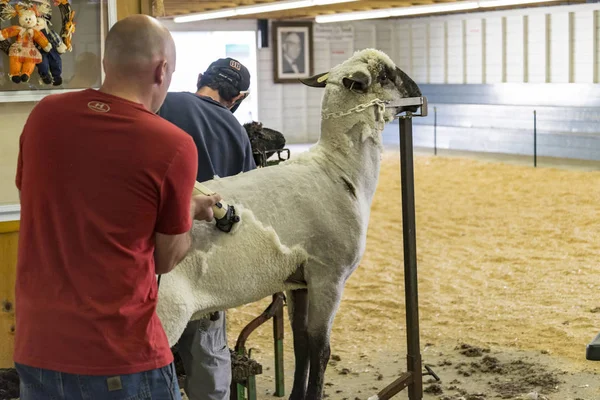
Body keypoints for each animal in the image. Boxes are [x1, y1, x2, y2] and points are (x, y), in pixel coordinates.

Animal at [156, 47, 422, 400]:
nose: (420, 93)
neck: (340, 170)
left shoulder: (298, 281)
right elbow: (321, 349)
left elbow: (301, 342)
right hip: (164, 315)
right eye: (387, 75)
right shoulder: (329, 275)